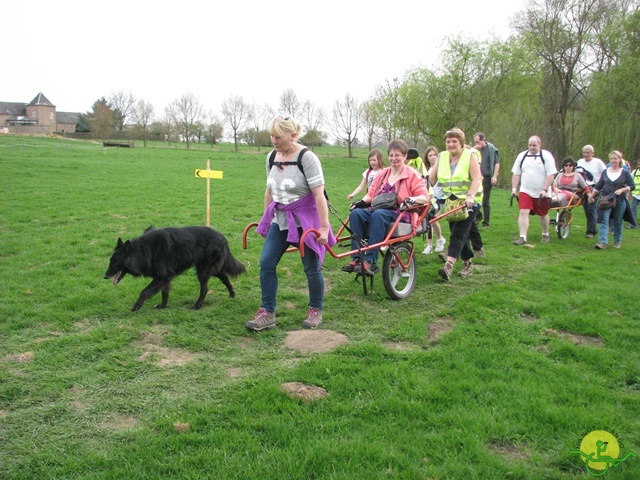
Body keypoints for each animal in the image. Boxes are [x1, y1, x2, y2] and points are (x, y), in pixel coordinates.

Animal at [104, 228, 246, 314]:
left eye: (115, 262)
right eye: (110, 260)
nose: (105, 276)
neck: (145, 251)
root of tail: (223, 238)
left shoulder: (162, 276)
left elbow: (144, 292)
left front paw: (136, 307)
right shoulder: (164, 277)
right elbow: (164, 292)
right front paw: (163, 306)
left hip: (203, 271)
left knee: (204, 288)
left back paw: (197, 305)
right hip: (211, 269)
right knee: (225, 277)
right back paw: (232, 294)